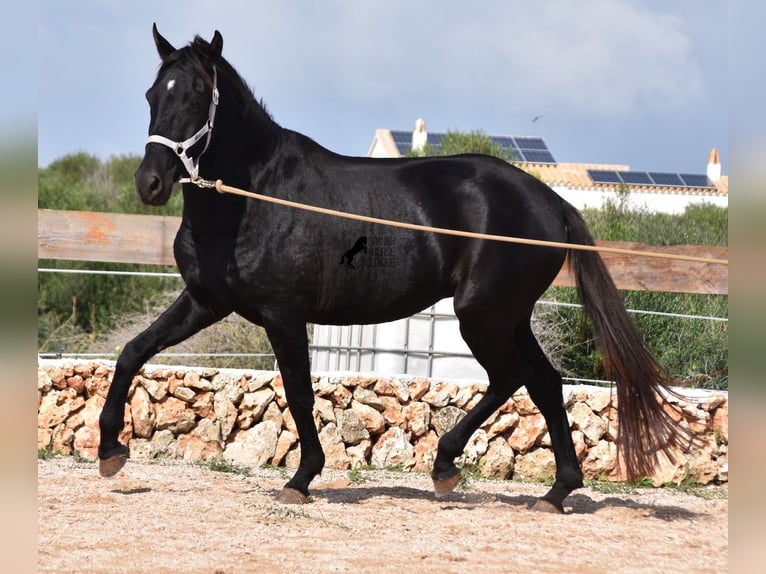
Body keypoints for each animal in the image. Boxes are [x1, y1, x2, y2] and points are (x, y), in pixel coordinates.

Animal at [99, 25, 688, 512]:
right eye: (153, 94)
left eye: (196, 95)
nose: (150, 183)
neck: (254, 197)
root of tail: (551, 201)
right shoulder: (206, 301)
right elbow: (132, 352)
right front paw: (109, 450)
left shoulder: (283, 315)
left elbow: (299, 392)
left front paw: (301, 479)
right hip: (509, 316)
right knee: (542, 381)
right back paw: (552, 489)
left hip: (483, 315)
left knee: (512, 377)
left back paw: (452, 467)